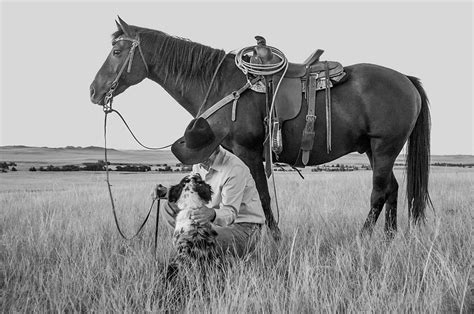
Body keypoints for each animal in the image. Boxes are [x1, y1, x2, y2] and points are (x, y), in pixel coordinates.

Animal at [90, 17, 432, 240]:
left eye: (117, 52)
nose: (94, 91)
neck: (221, 84)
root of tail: (405, 79)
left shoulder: (249, 151)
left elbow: (263, 196)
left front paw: (275, 236)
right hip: (376, 150)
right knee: (392, 189)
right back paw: (388, 238)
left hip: (385, 147)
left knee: (378, 193)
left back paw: (364, 236)